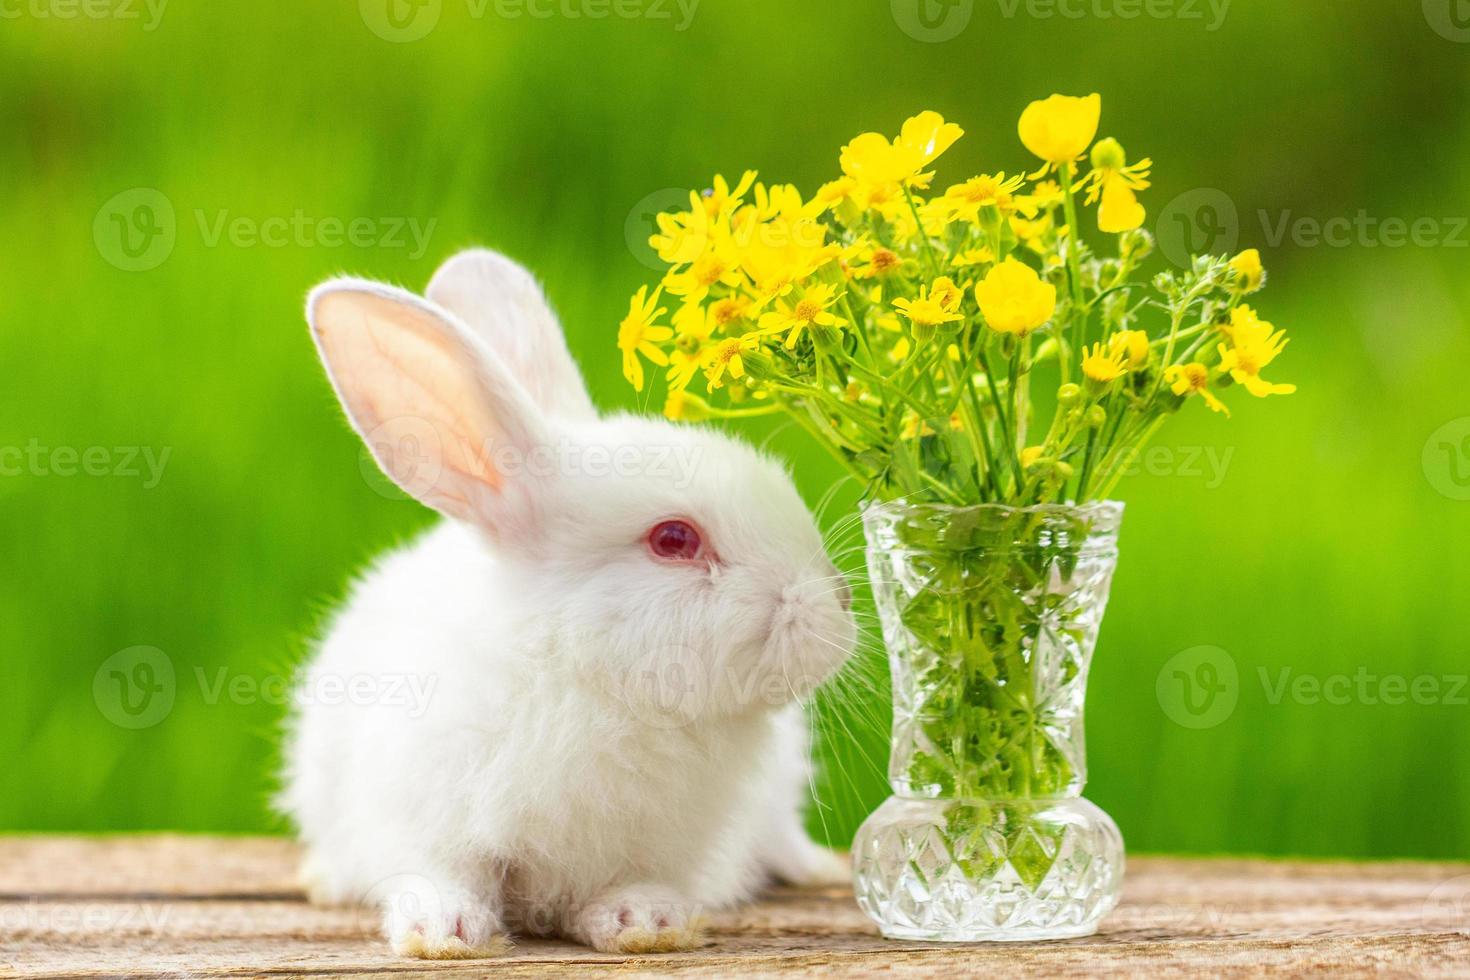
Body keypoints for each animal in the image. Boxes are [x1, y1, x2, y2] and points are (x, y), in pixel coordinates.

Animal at [279, 246, 858, 957]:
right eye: (674, 539)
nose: (838, 603)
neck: (582, 677)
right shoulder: (415, 815)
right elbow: (440, 874)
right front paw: (442, 932)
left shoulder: (654, 848)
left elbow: (627, 885)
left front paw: (645, 924)